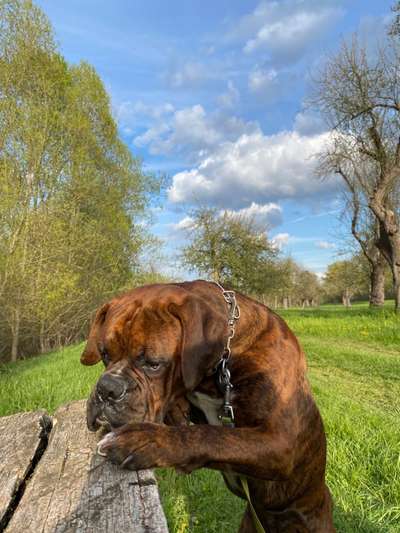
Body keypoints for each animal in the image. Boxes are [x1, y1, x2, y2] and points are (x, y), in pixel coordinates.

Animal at [80, 280, 334, 528]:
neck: (225, 360)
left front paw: (146, 440)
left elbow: (215, 436)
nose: (107, 388)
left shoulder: (281, 440)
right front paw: (176, 409)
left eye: (153, 364)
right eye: (104, 355)